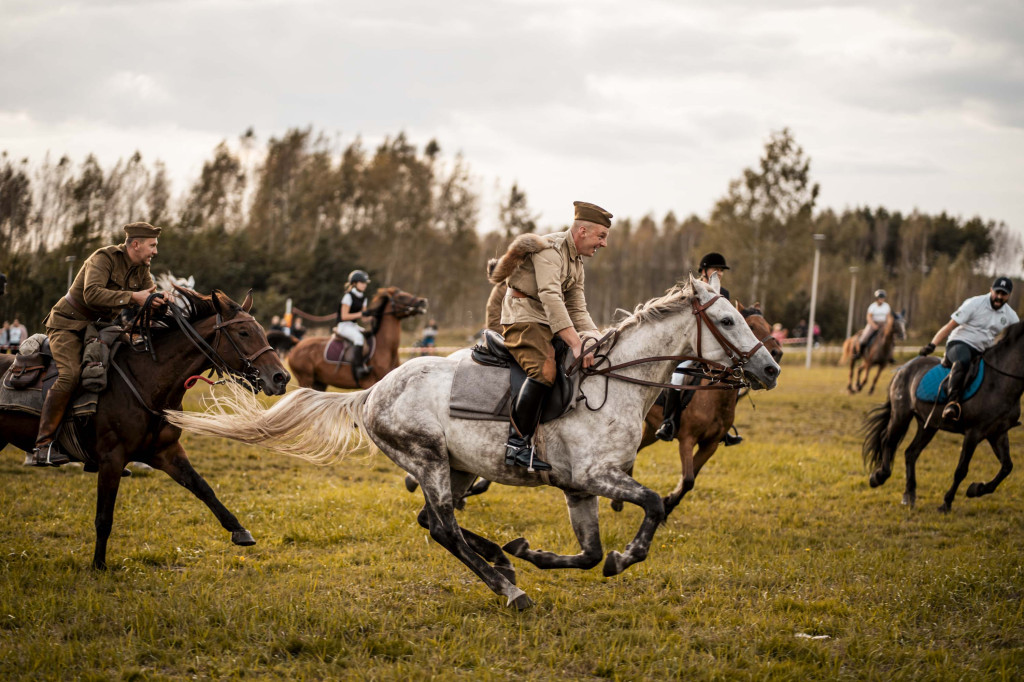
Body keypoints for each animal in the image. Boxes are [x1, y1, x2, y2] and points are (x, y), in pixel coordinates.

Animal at [0, 288, 290, 569]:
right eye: (243, 332)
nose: (281, 377)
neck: (145, 381)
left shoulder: (166, 452)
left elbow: (203, 487)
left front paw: (240, 531)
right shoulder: (111, 459)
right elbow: (104, 517)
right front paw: (98, 565)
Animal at [288, 284, 428, 391]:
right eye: (401, 297)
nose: (423, 301)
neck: (385, 347)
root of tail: (297, 346)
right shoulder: (370, 384)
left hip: (319, 382)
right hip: (306, 380)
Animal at [614, 303, 782, 516]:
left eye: (768, 326)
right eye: (751, 326)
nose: (776, 355)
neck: (714, 399)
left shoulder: (710, 444)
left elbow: (690, 479)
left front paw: (668, 504)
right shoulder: (687, 440)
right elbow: (688, 479)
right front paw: (668, 503)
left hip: (652, 430)